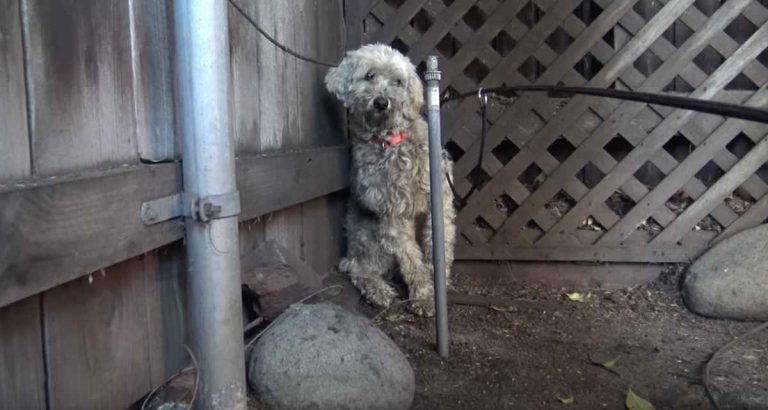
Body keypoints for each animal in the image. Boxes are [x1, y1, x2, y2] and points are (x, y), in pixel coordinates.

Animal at [324, 43, 456, 316]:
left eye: (398, 81)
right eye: (369, 76)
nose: (382, 102)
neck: (392, 143)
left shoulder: (440, 202)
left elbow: (440, 245)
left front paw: (439, 283)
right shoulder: (392, 215)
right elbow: (411, 258)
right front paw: (425, 296)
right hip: (369, 238)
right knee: (357, 268)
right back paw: (380, 292)